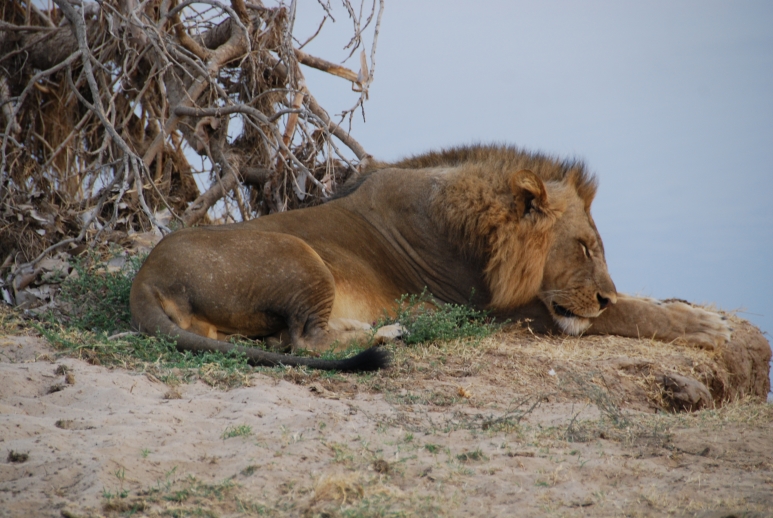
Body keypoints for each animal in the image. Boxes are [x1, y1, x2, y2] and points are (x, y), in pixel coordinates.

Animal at [130, 144, 730, 371]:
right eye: (582, 246)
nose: (602, 294)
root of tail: (144, 277)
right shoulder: (499, 310)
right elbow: (630, 313)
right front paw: (705, 324)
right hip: (300, 255)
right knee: (302, 340)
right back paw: (390, 333)